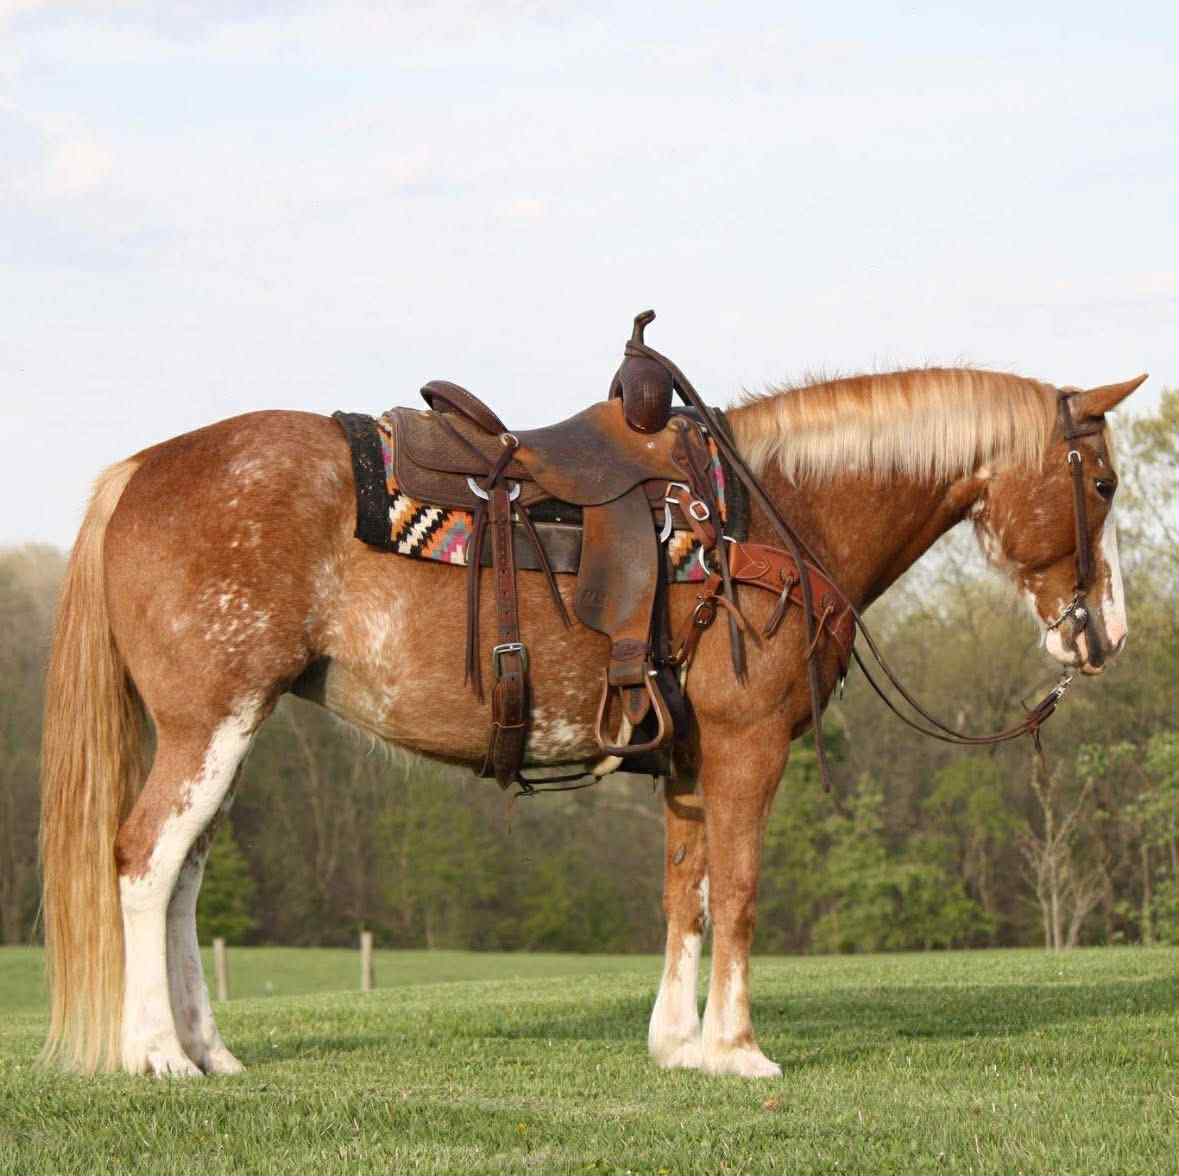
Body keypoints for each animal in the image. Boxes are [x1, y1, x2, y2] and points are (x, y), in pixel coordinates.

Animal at [38, 363, 1144, 1078]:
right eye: (1101, 482)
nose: (1109, 634)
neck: (769, 514)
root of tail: (138, 470)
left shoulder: (690, 762)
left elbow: (684, 895)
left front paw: (678, 1046)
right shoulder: (746, 749)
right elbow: (739, 893)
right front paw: (738, 1050)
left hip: (232, 730)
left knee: (183, 878)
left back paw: (208, 1049)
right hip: (209, 725)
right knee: (145, 862)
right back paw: (155, 1055)